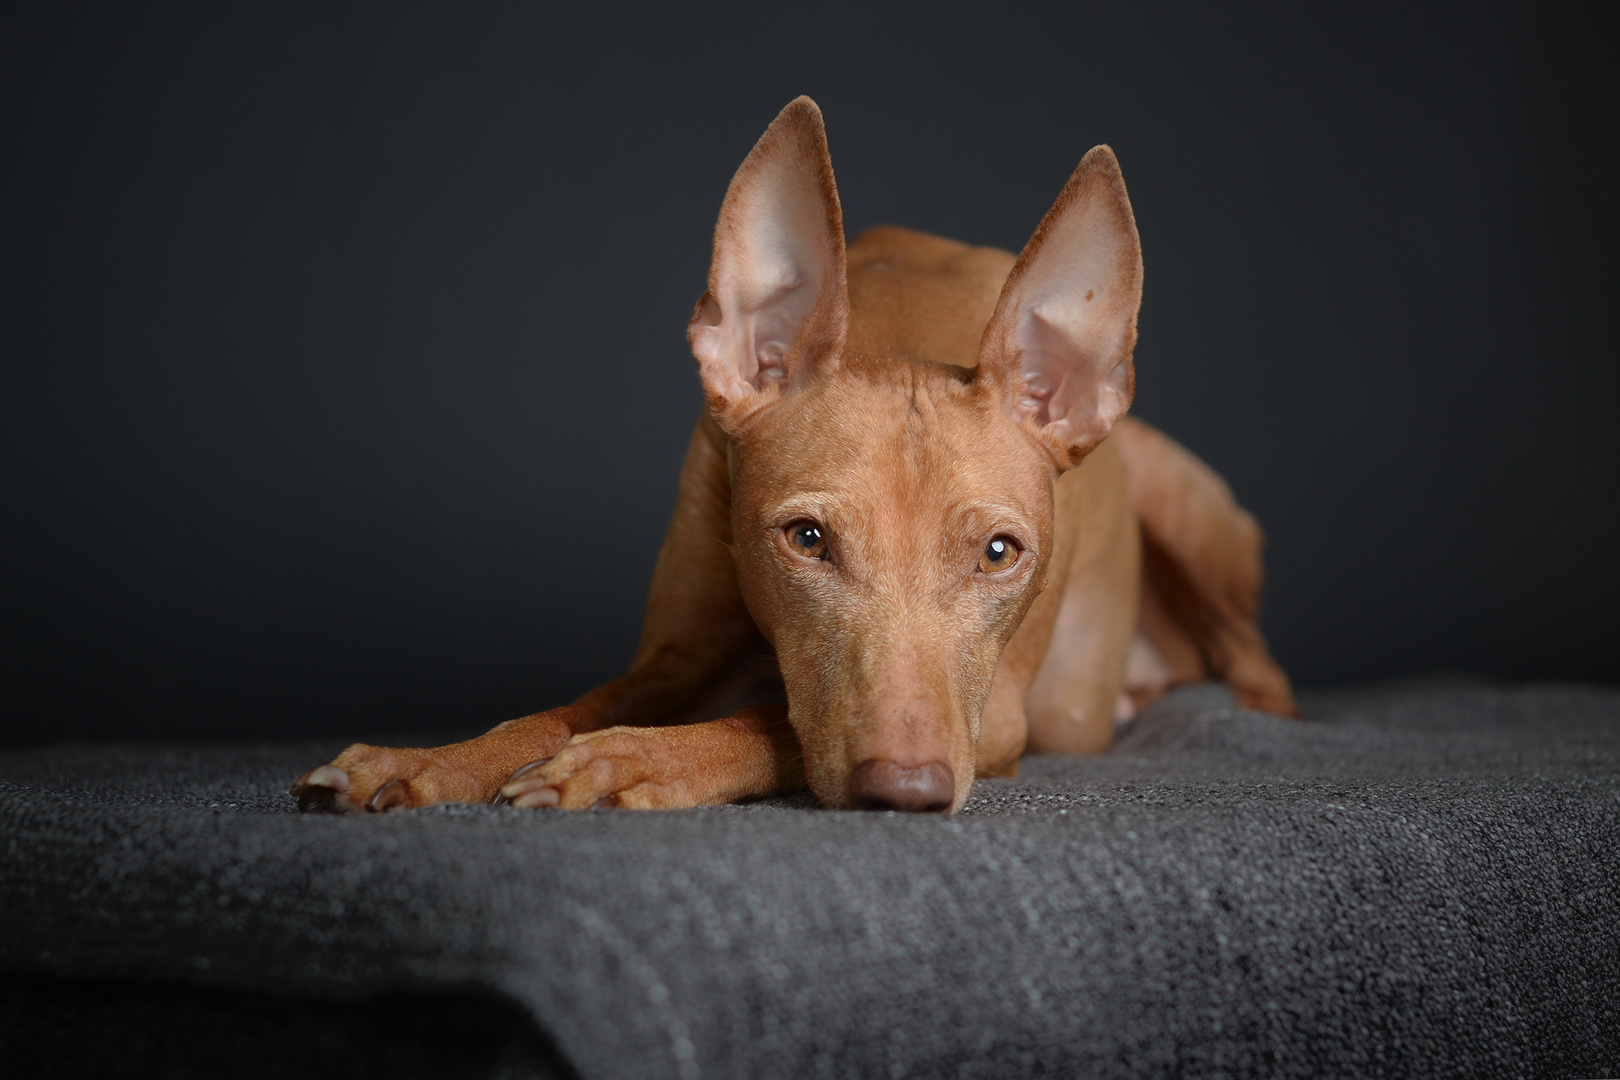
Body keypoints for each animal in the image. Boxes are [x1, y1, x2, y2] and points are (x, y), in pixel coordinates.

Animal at [291, 97, 1296, 819]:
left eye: (999, 554)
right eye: (806, 539)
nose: (906, 794)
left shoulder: (996, 716)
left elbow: (768, 714)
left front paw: (629, 759)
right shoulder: (672, 657)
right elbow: (558, 709)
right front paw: (431, 761)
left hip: (1183, 502)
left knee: (1257, 661)